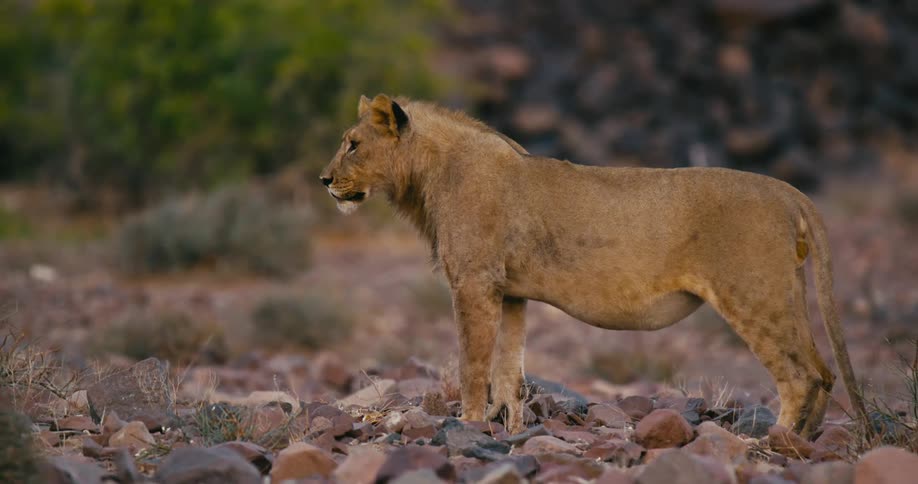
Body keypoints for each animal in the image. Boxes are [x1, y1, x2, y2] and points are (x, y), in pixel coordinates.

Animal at [320, 94, 868, 437]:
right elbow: (509, 371)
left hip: (753, 295)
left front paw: (469, 425)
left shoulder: (474, 283)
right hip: (786, 291)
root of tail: (788, 191)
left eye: (353, 143)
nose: (324, 179)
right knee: (824, 371)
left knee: (800, 376)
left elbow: (473, 366)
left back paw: (770, 444)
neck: (429, 174)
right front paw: (508, 430)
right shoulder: (509, 291)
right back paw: (806, 440)